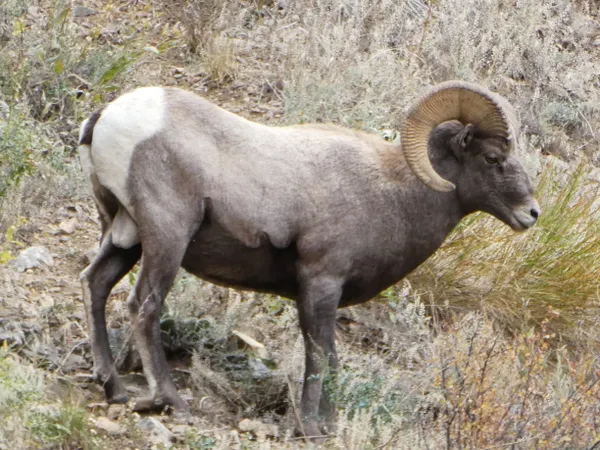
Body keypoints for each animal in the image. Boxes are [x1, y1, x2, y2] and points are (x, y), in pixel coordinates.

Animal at [77, 80, 540, 436]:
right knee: (144, 305)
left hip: (123, 237)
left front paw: (329, 427)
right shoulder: (321, 284)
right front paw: (311, 429)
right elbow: (322, 355)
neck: (394, 192)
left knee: (94, 283)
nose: (531, 214)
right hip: (166, 238)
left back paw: (114, 387)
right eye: (493, 158)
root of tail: (107, 117)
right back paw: (168, 400)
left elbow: (330, 360)